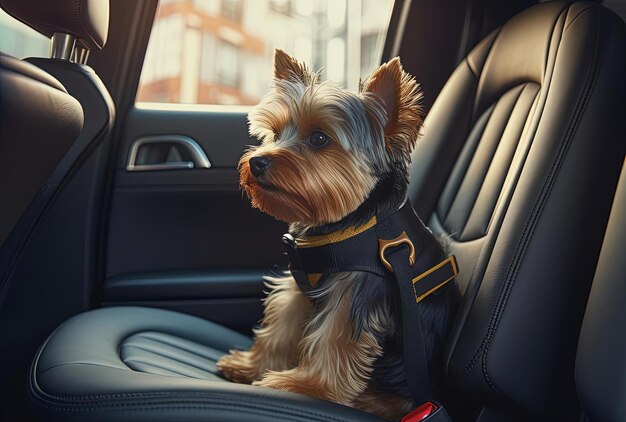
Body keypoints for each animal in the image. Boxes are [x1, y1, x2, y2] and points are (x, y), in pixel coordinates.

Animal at [217, 48, 450, 418]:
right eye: (276, 134)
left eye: (319, 138)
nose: (257, 162)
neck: (344, 220)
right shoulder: (302, 278)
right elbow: (282, 321)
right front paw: (251, 366)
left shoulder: (359, 289)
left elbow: (335, 338)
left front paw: (303, 387)